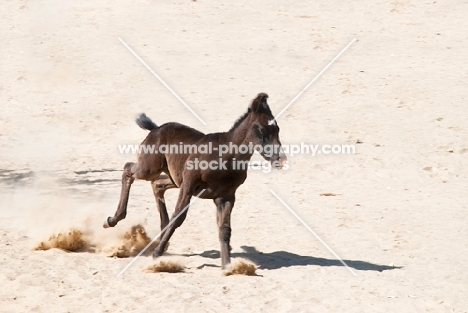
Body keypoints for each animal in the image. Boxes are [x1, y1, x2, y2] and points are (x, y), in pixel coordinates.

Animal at [104, 92, 288, 268]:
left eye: (278, 129)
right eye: (262, 129)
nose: (280, 159)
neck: (226, 156)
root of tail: (156, 128)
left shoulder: (226, 196)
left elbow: (225, 229)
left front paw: (228, 266)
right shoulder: (189, 185)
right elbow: (178, 217)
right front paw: (157, 253)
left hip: (174, 177)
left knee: (157, 185)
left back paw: (161, 229)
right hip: (150, 168)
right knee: (128, 170)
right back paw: (113, 220)